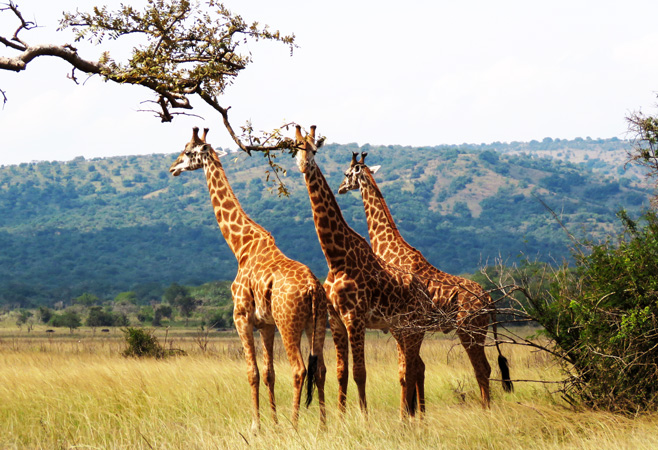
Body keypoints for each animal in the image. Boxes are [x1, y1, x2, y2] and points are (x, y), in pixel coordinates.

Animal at [169, 127, 327, 431]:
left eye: (188, 151)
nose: (172, 168)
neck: (241, 246)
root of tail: (314, 288)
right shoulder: (265, 324)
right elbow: (268, 372)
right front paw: (272, 423)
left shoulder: (241, 316)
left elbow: (252, 372)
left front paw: (256, 426)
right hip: (317, 323)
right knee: (321, 368)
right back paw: (325, 426)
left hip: (289, 323)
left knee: (300, 369)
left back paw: (294, 425)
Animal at [294, 125, 433, 418]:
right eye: (295, 149)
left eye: (313, 149)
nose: (304, 166)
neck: (336, 258)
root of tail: (425, 292)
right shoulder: (335, 319)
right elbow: (341, 372)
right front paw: (341, 417)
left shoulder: (355, 317)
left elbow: (360, 372)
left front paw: (364, 419)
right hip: (400, 328)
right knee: (411, 368)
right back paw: (410, 417)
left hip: (414, 328)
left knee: (413, 369)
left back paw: (412, 418)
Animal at [337, 151, 513, 407]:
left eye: (347, 173)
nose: (340, 188)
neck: (391, 249)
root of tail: (489, 300)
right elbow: (417, 369)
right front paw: (418, 411)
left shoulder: (399, 325)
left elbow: (407, 371)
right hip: (477, 330)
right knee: (486, 368)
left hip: (469, 329)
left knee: (482, 369)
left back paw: (485, 409)